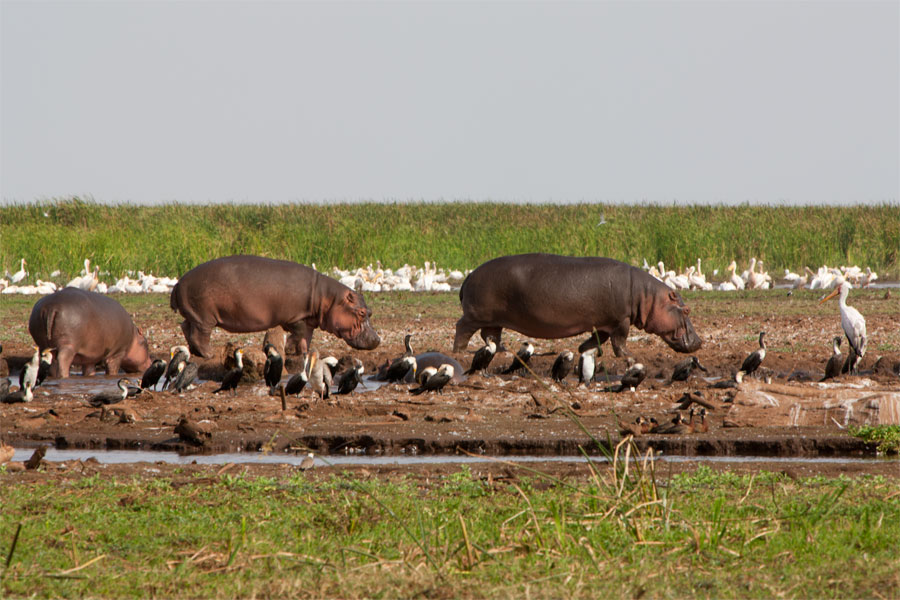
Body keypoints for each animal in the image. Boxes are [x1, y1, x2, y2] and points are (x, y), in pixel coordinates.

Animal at [170, 255, 381, 358]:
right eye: (362, 312)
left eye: (370, 311)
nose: (377, 339)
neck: (327, 298)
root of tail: (179, 282)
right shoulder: (296, 318)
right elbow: (298, 336)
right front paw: (288, 349)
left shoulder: (307, 319)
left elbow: (306, 338)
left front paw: (304, 353)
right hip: (205, 317)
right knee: (200, 335)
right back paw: (208, 354)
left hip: (194, 315)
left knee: (186, 327)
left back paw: (195, 353)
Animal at [453, 253, 702, 356]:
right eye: (686, 310)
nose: (699, 341)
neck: (647, 296)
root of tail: (469, 276)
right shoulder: (621, 320)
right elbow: (619, 340)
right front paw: (629, 356)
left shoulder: (604, 322)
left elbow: (598, 338)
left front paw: (584, 349)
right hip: (475, 315)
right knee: (462, 328)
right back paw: (459, 351)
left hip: (493, 318)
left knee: (491, 335)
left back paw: (503, 351)